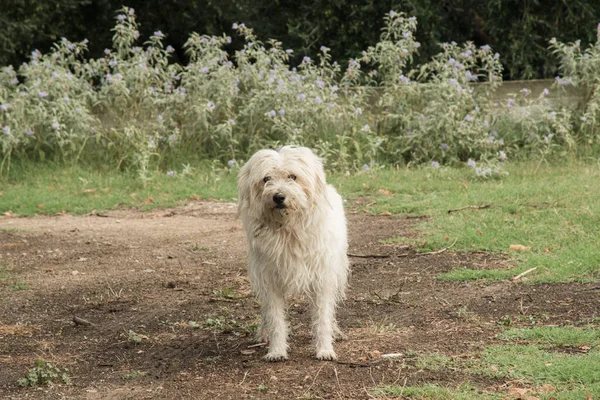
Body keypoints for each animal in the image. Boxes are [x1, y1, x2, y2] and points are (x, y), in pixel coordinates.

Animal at [234, 145, 346, 360]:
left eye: (292, 177)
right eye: (266, 179)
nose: (278, 197)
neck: (288, 230)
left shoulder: (322, 279)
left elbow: (323, 317)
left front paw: (325, 349)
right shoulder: (269, 279)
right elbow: (275, 318)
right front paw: (277, 350)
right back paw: (263, 333)